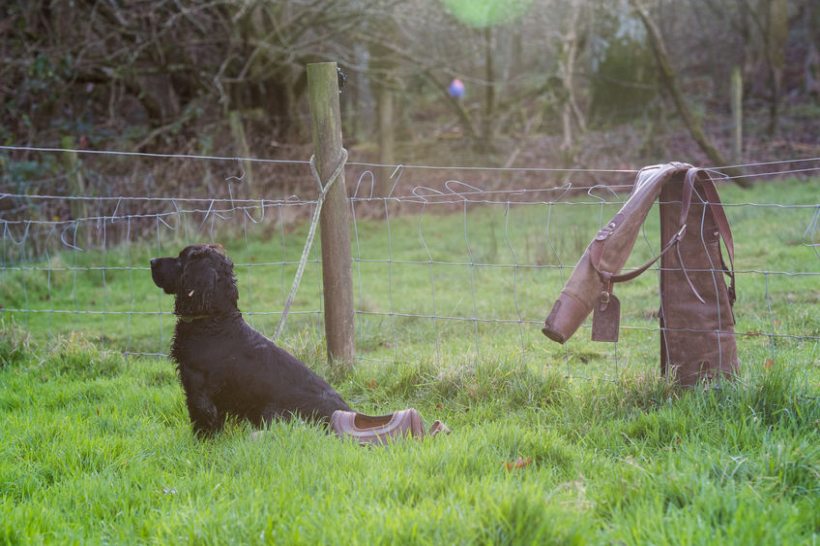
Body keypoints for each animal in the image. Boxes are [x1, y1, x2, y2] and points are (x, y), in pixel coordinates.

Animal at [151, 242, 350, 434]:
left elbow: (203, 423)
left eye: (181, 259)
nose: (152, 261)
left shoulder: (199, 390)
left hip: (273, 412)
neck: (215, 320)